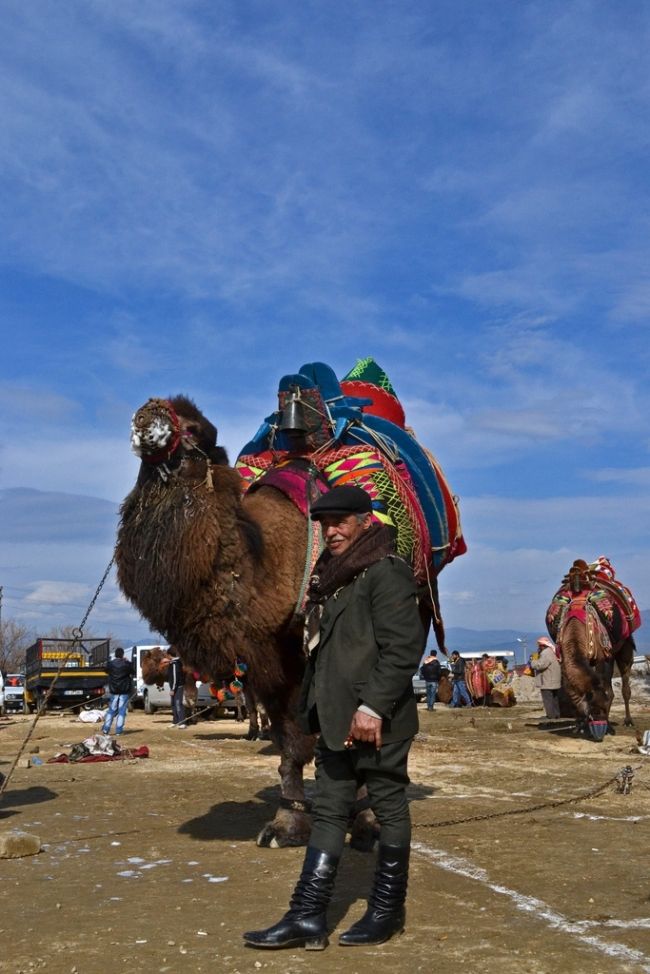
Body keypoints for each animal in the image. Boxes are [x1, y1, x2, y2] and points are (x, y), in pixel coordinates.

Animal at [544, 556, 636, 740]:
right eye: (591, 712)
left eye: (604, 708)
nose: (600, 730)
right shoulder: (564, 663)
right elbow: (573, 693)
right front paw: (579, 726)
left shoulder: (602, 658)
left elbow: (609, 690)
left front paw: (608, 727)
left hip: (625, 646)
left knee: (625, 683)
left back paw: (628, 720)